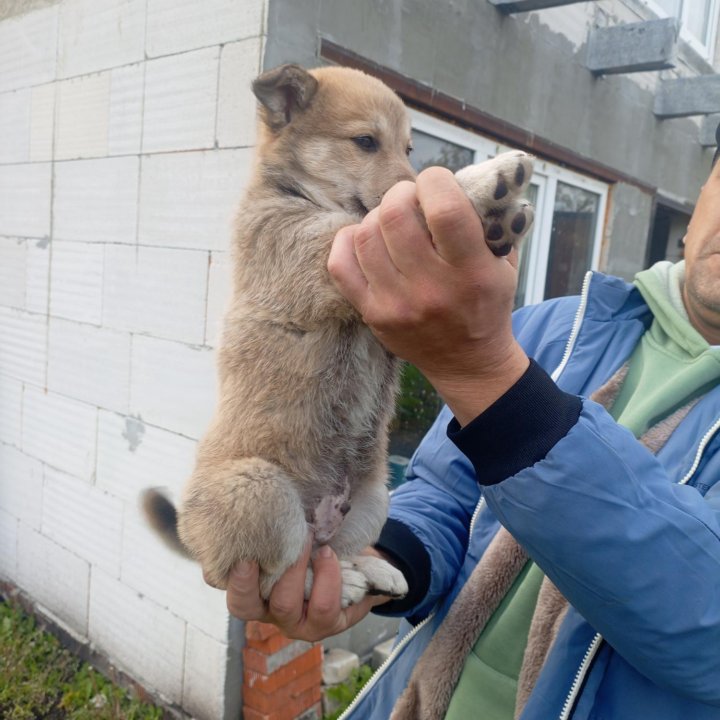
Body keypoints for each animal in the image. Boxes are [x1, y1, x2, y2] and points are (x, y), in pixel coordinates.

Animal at [142, 63, 536, 608]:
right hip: (261, 491)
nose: (409, 176)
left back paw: (372, 571)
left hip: (373, 499)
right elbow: (390, 212)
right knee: (277, 577)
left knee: (329, 551)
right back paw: (332, 584)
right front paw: (483, 183)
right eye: (366, 141)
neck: (297, 194)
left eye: (409, 148)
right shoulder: (323, 246)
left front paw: (497, 222)